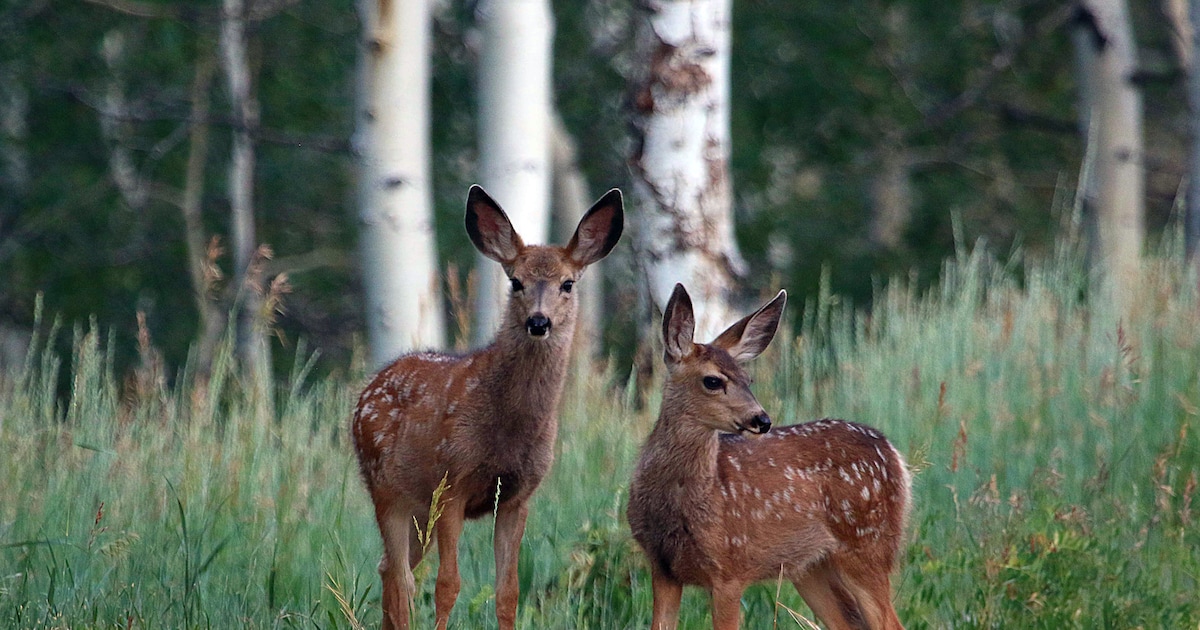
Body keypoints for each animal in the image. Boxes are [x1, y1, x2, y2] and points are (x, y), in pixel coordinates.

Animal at [352, 184, 623, 630]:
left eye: (567, 283)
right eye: (516, 281)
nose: (538, 322)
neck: (506, 431)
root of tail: (367, 390)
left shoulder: (517, 497)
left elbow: (509, 590)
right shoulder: (451, 483)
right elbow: (448, 585)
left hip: (417, 507)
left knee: (389, 569)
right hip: (384, 486)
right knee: (400, 577)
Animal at [627, 284, 911, 630]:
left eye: (748, 380)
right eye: (713, 380)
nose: (761, 419)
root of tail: (894, 453)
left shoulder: (729, 566)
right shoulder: (662, 566)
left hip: (868, 545)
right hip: (810, 566)